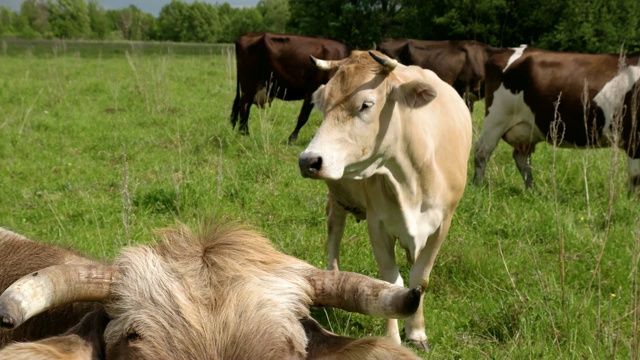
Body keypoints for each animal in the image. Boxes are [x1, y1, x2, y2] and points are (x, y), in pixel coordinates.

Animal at [298, 50, 472, 348]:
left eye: (366, 104)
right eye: (325, 104)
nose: (308, 161)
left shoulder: (442, 225)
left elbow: (420, 279)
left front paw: (416, 332)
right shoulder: (377, 224)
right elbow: (391, 282)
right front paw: (392, 339)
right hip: (338, 196)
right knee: (334, 233)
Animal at [472, 45, 636, 194]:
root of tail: (504, 50)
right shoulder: (633, 138)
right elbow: (635, 176)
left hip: (525, 128)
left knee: (522, 156)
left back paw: (533, 191)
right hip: (496, 118)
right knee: (482, 151)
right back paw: (477, 187)